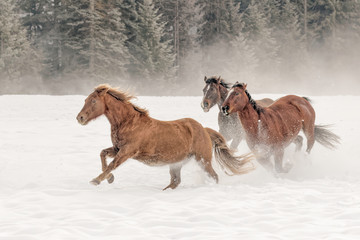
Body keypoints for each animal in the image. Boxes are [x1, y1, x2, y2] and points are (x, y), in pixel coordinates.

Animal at [77, 84, 255, 189]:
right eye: (86, 100)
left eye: (93, 101)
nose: (80, 118)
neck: (128, 122)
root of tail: (204, 129)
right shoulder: (117, 148)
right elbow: (103, 154)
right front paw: (110, 179)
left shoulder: (127, 151)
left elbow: (112, 164)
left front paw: (96, 180)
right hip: (176, 164)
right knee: (175, 181)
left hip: (202, 160)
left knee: (214, 176)